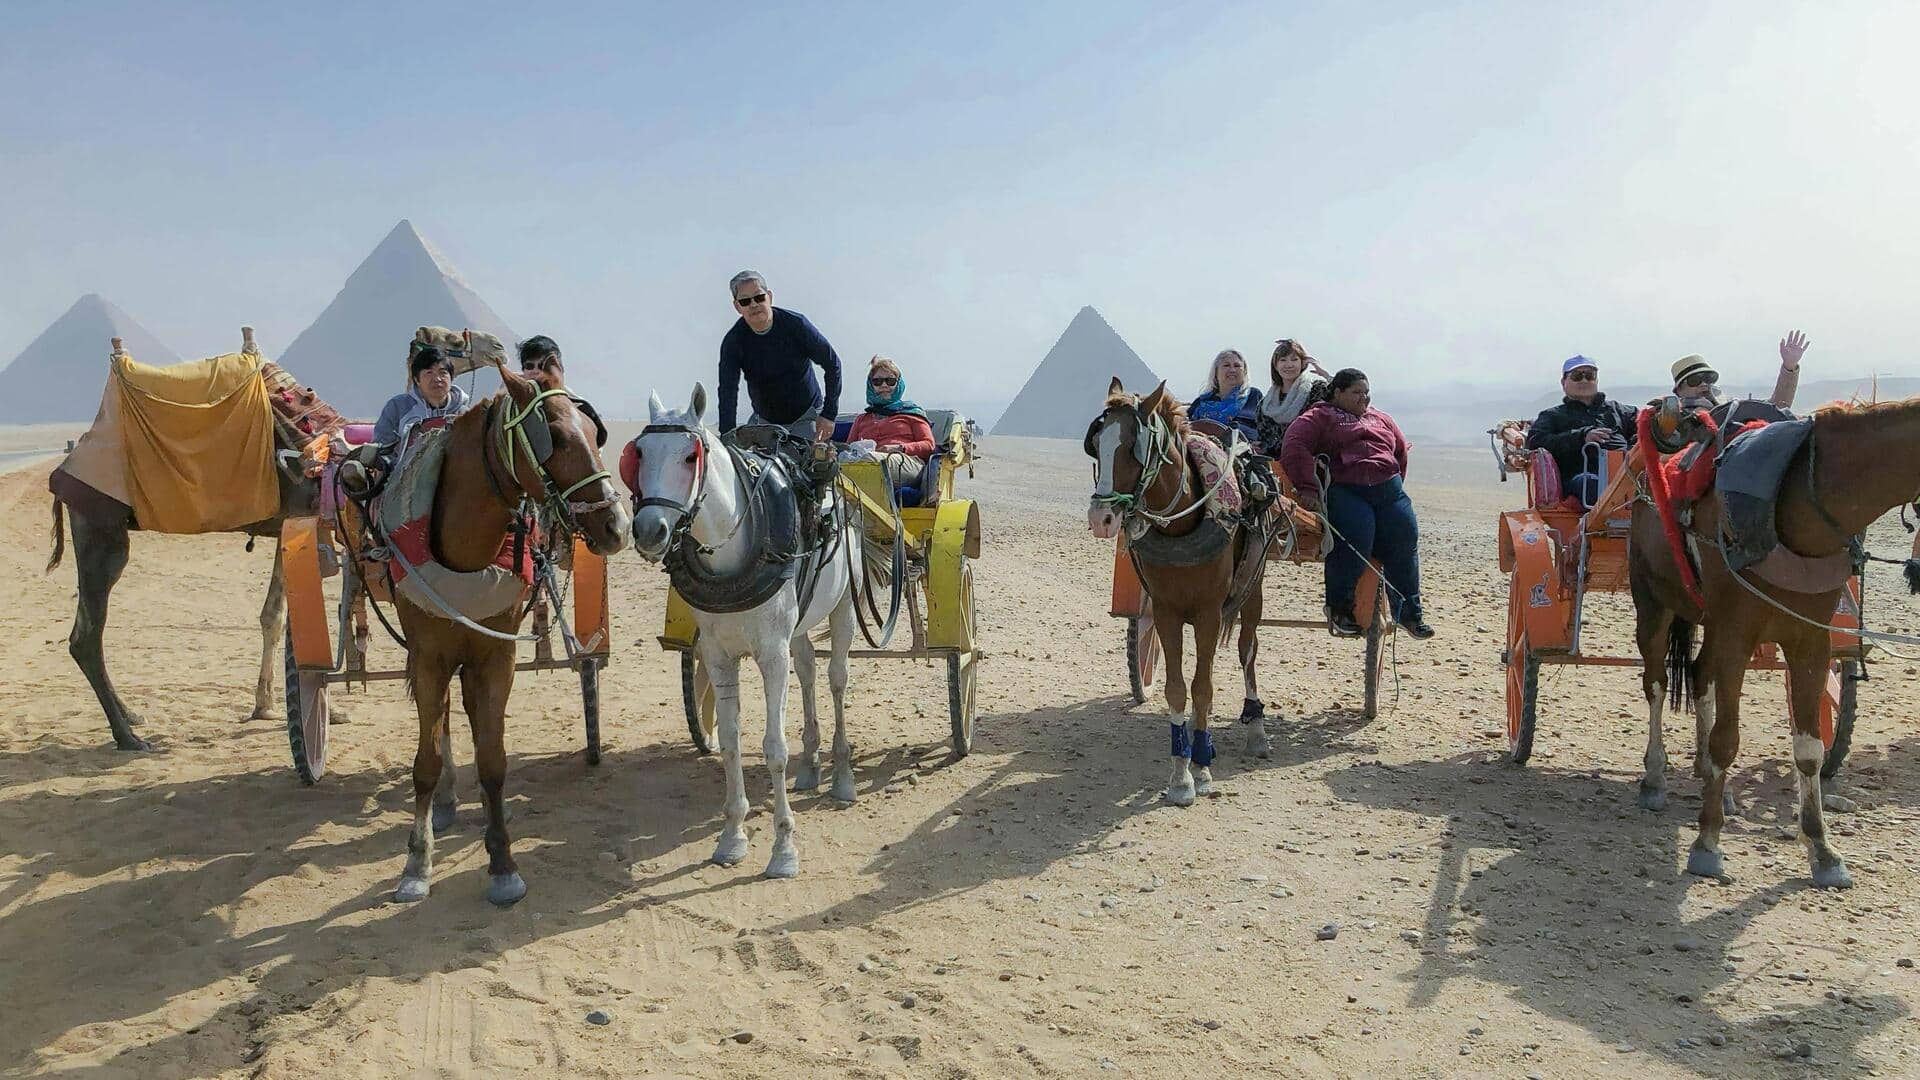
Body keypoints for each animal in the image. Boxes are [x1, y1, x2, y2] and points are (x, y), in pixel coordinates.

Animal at [384, 359, 629, 899]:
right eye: (553, 437)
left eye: (595, 432)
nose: (617, 526)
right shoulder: (429, 658)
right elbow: (425, 763)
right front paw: (416, 863)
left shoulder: (497, 657)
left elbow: (493, 759)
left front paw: (502, 863)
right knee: (441, 724)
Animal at [625, 384, 860, 876]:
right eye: (638, 453)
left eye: (690, 456)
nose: (650, 530)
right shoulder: (718, 655)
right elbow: (731, 742)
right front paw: (732, 837)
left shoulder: (771, 654)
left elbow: (773, 747)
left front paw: (783, 848)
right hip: (799, 626)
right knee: (807, 672)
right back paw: (811, 766)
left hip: (844, 607)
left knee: (836, 680)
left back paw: (843, 776)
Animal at [1090, 374, 1267, 803]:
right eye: (1096, 442)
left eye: (1134, 447)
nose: (1101, 518)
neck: (1182, 524)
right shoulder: (1166, 612)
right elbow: (1176, 689)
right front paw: (1180, 773)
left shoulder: (1207, 614)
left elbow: (1202, 688)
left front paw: (1201, 767)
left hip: (1252, 591)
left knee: (1248, 651)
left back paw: (1256, 727)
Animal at [1628, 393, 1920, 883]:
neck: (1800, 502)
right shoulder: (1736, 635)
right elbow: (1727, 739)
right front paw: (1707, 843)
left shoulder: (1812, 642)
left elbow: (1809, 749)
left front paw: (1822, 849)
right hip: (1653, 605)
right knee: (1657, 683)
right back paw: (1655, 778)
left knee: (1699, 675)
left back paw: (1707, 776)